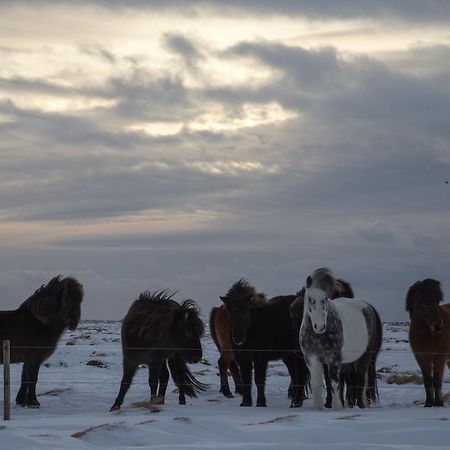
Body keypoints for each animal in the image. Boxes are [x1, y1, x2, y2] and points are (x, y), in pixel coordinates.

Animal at [0, 274, 84, 408]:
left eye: (80, 301)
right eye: (65, 300)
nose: (73, 323)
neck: (40, 323)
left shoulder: (28, 360)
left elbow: (25, 379)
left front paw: (21, 401)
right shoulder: (34, 359)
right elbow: (33, 379)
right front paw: (33, 403)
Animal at [219, 278, 310, 408]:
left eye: (245, 311)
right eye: (230, 312)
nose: (238, 339)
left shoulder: (260, 358)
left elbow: (259, 380)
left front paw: (261, 403)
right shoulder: (243, 360)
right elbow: (246, 380)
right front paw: (245, 403)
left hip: (298, 355)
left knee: (300, 375)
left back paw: (297, 402)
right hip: (289, 356)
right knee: (294, 375)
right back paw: (294, 401)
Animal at [298, 268, 384, 410]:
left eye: (325, 298)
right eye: (310, 298)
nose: (320, 326)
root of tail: (368, 307)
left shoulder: (334, 359)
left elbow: (334, 383)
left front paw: (337, 407)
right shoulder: (311, 358)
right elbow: (317, 384)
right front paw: (318, 408)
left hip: (364, 355)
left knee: (360, 380)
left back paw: (361, 406)